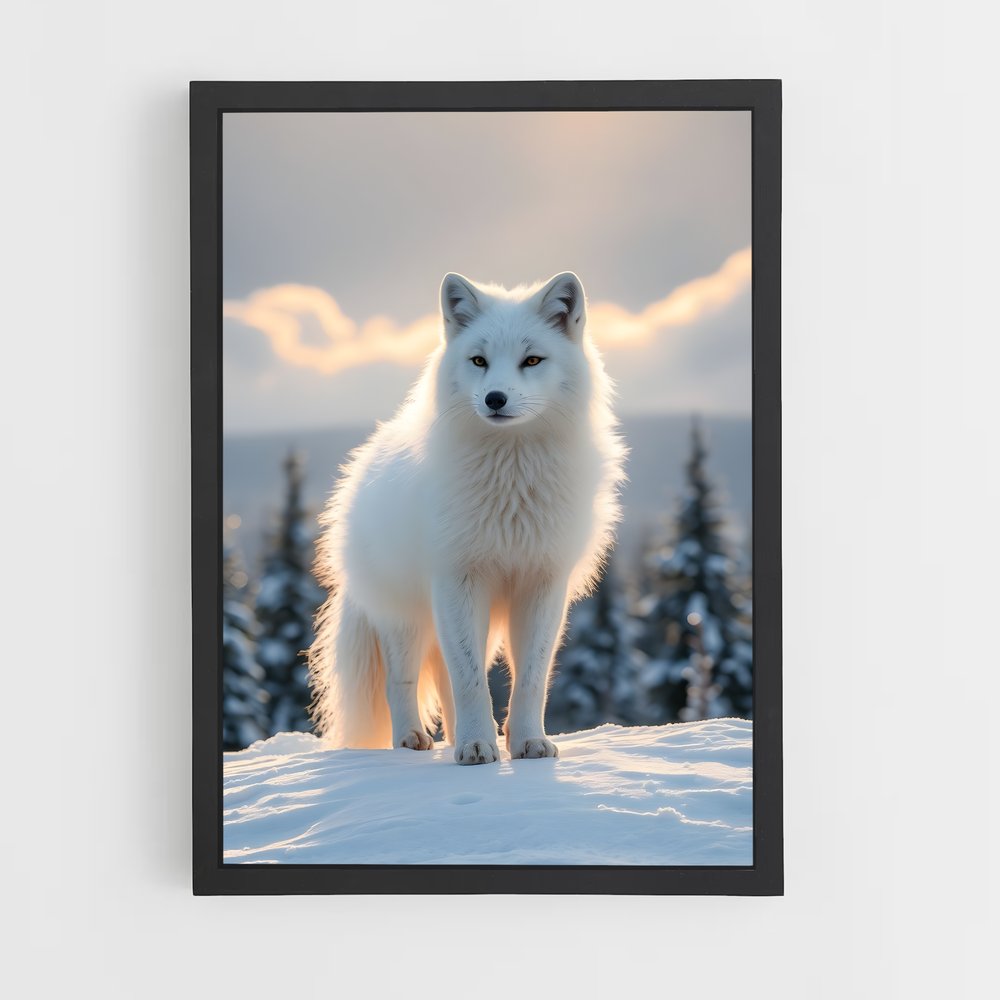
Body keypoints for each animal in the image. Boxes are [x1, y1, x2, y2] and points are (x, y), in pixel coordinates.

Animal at [308, 271, 626, 764]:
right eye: (479, 360)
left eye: (532, 360)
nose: (495, 398)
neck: (512, 479)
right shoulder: (457, 579)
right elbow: (471, 682)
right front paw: (477, 748)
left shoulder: (542, 584)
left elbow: (529, 680)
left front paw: (527, 742)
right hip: (409, 619)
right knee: (403, 681)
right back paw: (414, 740)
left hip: (480, 622)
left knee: (444, 676)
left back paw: (464, 735)